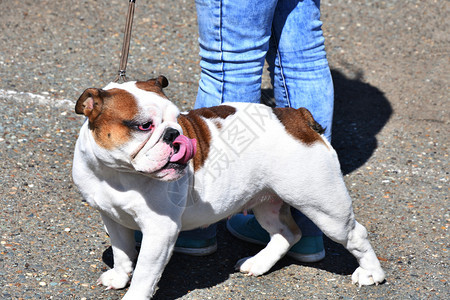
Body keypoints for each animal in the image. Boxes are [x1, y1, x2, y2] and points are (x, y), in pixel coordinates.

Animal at [72, 76, 384, 298]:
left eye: (177, 119)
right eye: (144, 126)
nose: (175, 134)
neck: (118, 173)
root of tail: (297, 117)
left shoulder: (160, 231)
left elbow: (145, 274)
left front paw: (134, 292)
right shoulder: (112, 216)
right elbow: (122, 250)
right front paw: (119, 276)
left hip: (324, 206)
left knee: (355, 234)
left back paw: (371, 274)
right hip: (267, 201)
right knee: (287, 233)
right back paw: (258, 263)